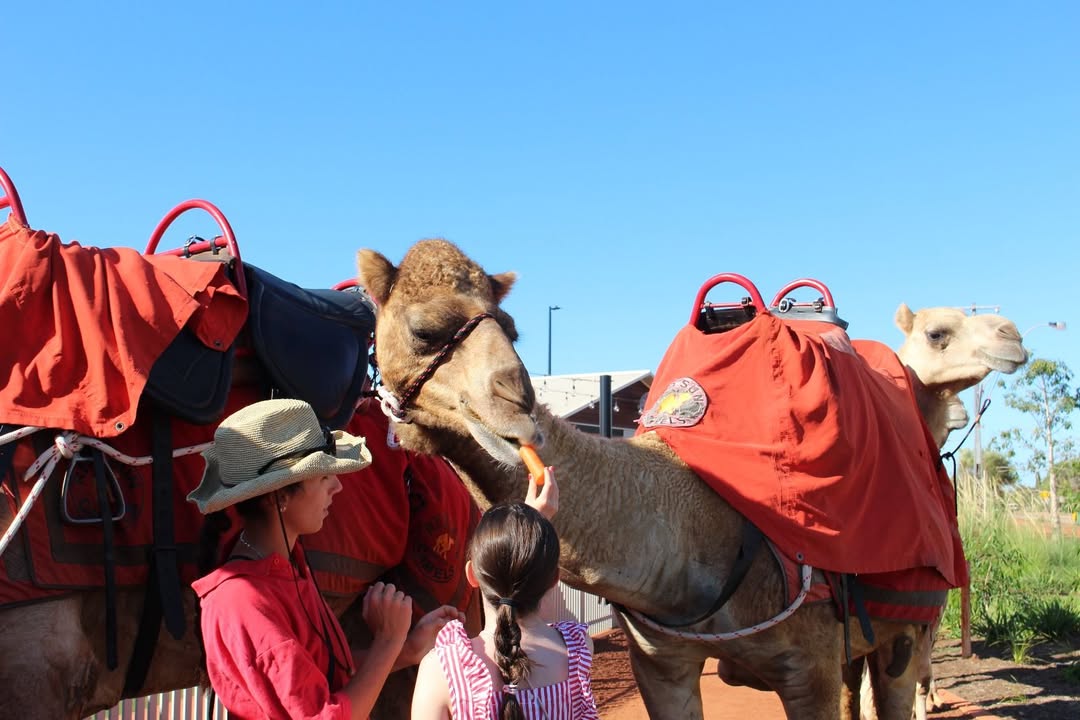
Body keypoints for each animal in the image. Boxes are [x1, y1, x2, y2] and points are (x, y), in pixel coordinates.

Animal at [356, 241, 1028, 720]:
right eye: (423, 331)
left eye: (513, 328)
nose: (517, 401)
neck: (702, 534)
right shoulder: (663, 665)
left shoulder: (806, 669)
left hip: (908, 628)